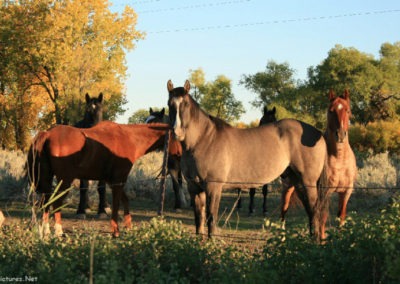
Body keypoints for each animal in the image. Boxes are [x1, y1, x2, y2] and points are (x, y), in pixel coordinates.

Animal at [26, 121, 170, 237]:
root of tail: (48, 134)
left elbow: (125, 200)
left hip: (48, 180)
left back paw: (46, 231)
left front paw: (128, 227)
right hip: (65, 180)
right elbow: (117, 204)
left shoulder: (113, 182)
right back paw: (58, 231)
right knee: (56, 202)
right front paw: (116, 231)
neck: (129, 138)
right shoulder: (119, 180)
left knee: (46, 201)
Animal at [167, 79, 330, 240]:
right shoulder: (194, 187)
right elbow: (199, 220)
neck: (204, 139)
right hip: (297, 181)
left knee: (315, 210)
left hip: (308, 181)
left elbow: (211, 219)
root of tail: (318, 134)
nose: (177, 132)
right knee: (310, 211)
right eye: (170, 104)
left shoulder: (213, 187)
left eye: (185, 104)